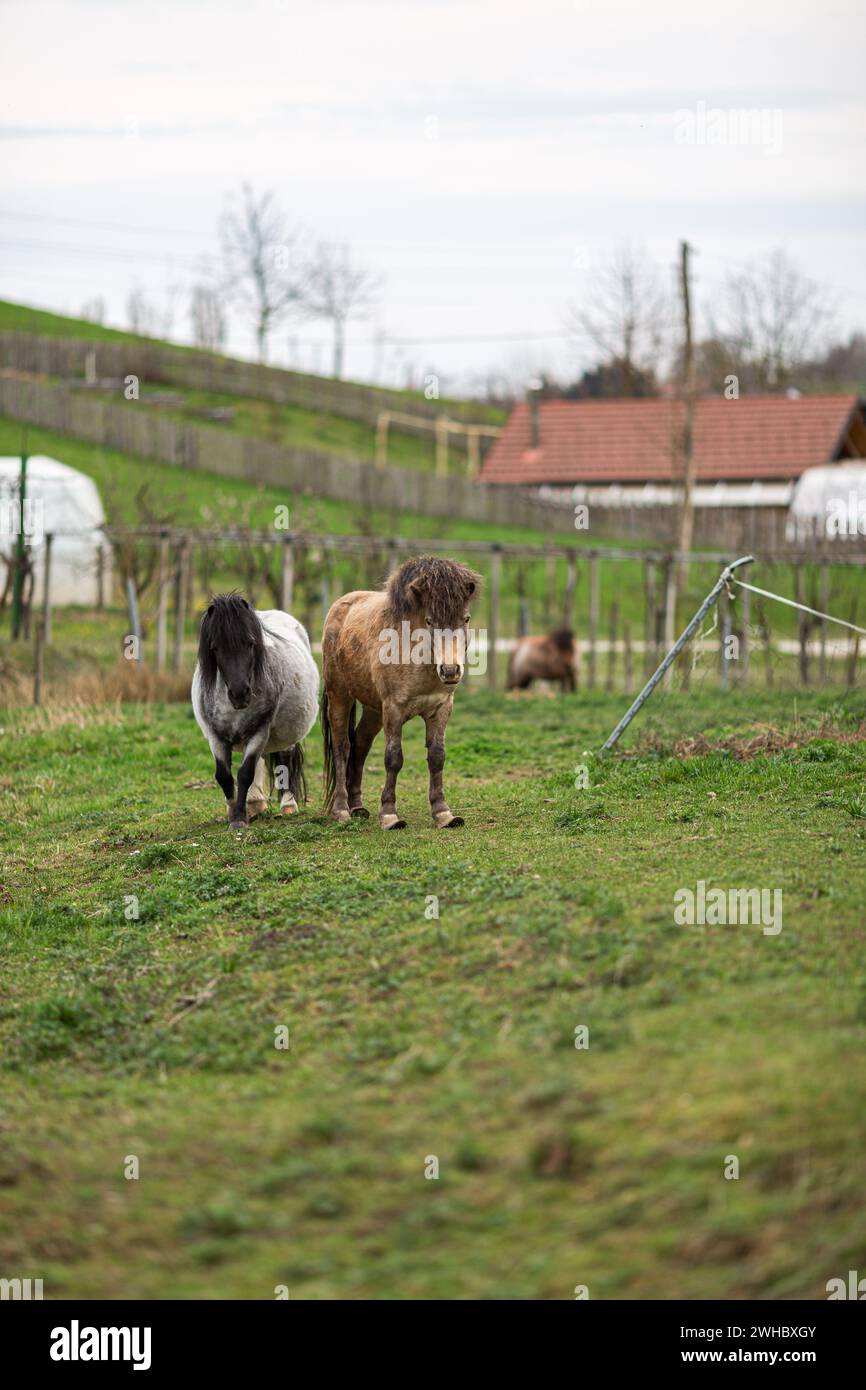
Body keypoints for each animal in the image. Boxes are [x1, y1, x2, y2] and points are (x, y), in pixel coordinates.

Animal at [191, 594, 319, 828]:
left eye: (250, 643)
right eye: (215, 648)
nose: (240, 693)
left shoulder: (259, 730)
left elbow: (245, 772)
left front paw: (239, 818)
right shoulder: (216, 736)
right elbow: (224, 776)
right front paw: (234, 812)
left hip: (287, 732)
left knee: (285, 759)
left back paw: (288, 805)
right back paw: (255, 803)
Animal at [322, 553, 480, 828]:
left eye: (466, 619)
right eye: (429, 620)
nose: (450, 671)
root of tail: (339, 606)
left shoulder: (441, 708)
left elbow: (437, 756)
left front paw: (443, 813)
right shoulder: (393, 710)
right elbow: (393, 758)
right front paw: (389, 815)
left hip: (374, 710)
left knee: (360, 745)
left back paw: (357, 807)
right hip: (339, 696)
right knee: (342, 747)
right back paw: (341, 810)